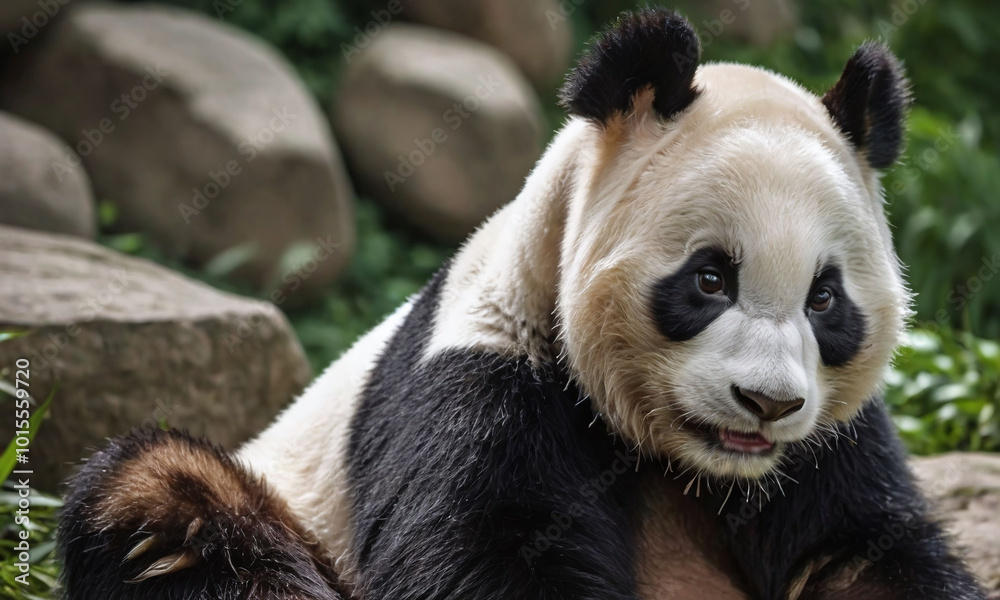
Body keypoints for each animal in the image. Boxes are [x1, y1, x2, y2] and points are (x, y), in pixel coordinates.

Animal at [58, 7, 989, 600]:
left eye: (825, 299)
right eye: (710, 278)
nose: (764, 404)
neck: (684, 462)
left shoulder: (831, 442)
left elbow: (863, 555)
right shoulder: (481, 380)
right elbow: (488, 557)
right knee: (165, 503)